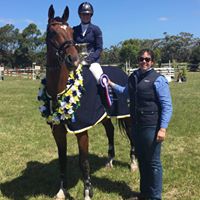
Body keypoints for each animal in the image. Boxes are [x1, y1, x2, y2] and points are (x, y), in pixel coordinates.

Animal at [38, 4, 137, 200]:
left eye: (70, 31)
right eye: (52, 32)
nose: (73, 60)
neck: (60, 88)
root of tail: (123, 71)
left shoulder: (81, 130)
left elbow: (84, 161)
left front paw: (87, 193)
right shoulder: (58, 131)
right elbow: (62, 159)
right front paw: (61, 191)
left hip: (126, 114)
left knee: (130, 134)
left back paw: (133, 164)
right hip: (105, 115)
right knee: (110, 131)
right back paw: (109, 161)